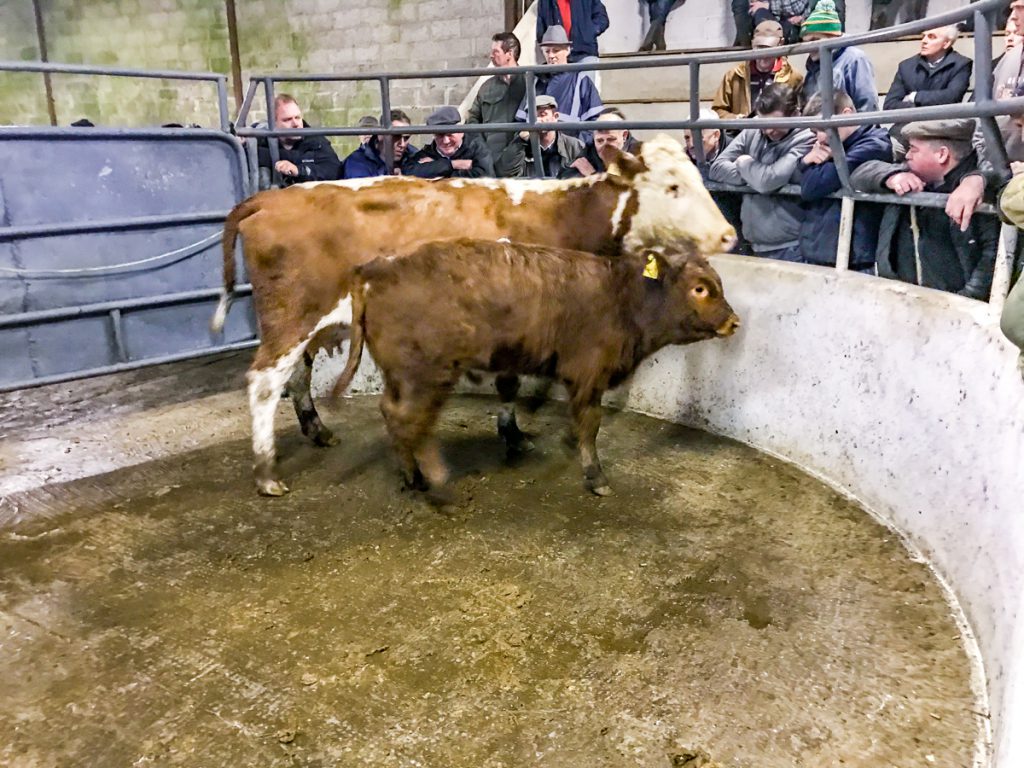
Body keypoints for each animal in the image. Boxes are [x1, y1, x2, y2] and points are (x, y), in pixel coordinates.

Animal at [330, 238, 739, 501]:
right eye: (700, 289)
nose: (733, 322)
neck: (619, 295)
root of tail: (378, 268)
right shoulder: (589, 373)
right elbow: (590, 422)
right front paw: (595, 475)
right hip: (426, 374)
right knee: (410, 418)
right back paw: (429, 477)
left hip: (400, 375)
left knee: (394, 413)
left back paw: (411, 473)